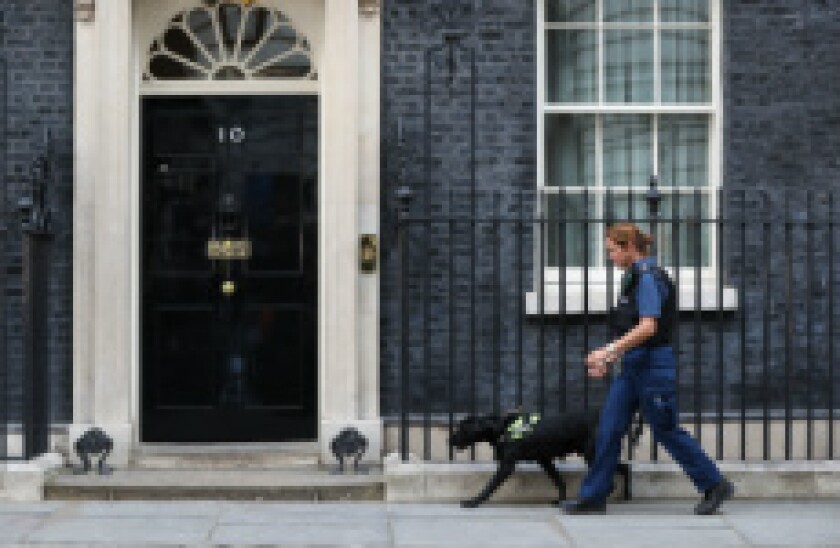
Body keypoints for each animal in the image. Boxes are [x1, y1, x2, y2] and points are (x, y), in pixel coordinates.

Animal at [450, 408, 640, 508]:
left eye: (462, 428)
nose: (449, 439)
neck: (502, 428)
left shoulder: (506, 466)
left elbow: (489, 486)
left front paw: (474, 501)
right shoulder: (545, 460)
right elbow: (558, 480)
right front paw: (560, 499)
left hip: (592, 454)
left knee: (615, 476)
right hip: (593, 454)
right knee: (624, 468)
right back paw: (624, 495)